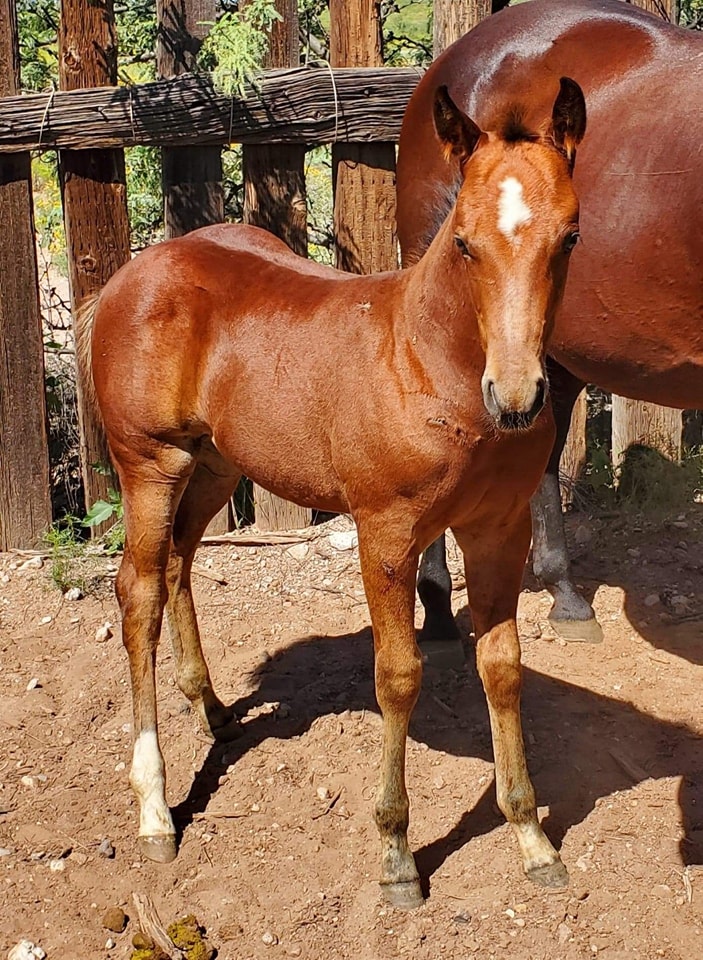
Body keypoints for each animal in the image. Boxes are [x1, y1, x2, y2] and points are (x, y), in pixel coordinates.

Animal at [78, 80, 586, 909]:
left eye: (568, 237)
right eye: (463, 243)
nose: (516, 399)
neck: (428, 364)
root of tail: (132, 271)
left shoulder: (497, 530)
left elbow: (502, 668)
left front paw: (532, 839)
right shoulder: (386, 533)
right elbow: (398, 676)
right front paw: (396, 855)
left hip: (214, 463)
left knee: (182, 562)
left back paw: (213, 710)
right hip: (149, 463)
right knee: (139, 593)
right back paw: (154, 810)